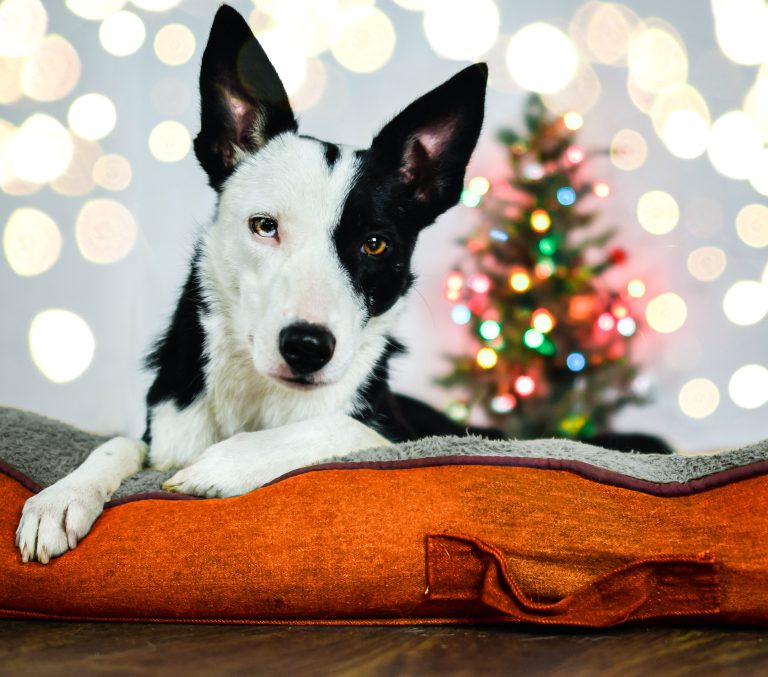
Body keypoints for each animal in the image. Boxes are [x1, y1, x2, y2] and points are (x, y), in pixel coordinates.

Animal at [16, 5, 498, 564]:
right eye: (265, 226)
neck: (258, 397)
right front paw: (62, 496)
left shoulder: (392, 435)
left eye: (376, 244)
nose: (307, 347)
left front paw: (222, 465)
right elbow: (120, 443)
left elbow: (334, 425)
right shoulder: (164, 434)